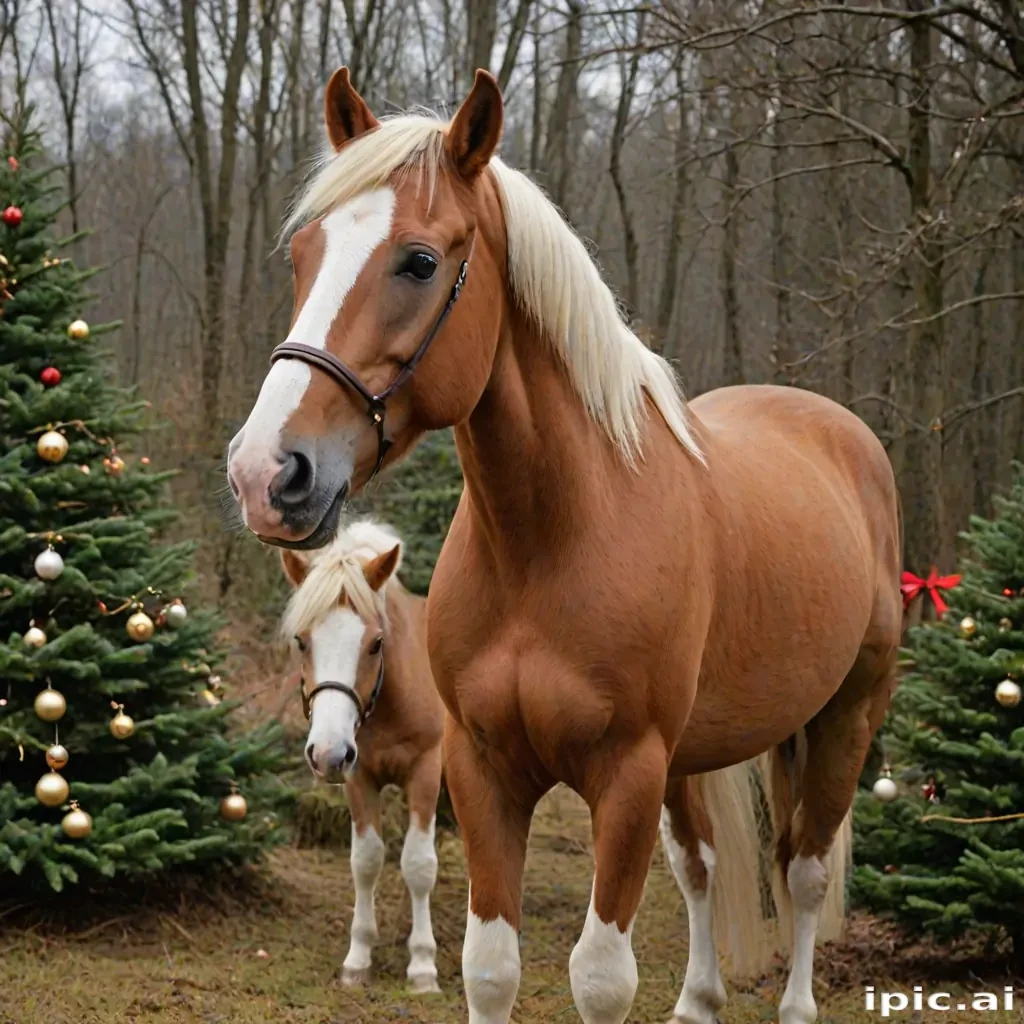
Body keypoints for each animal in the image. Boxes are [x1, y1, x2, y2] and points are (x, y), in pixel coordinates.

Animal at [279, 519, 445, 995]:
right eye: (301, 641)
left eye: (375, 643)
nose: (327, 752)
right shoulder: (359, 777)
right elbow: (366, 861)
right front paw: (358, 957)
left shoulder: (425, 772)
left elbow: (419, 864)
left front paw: (422, 965)